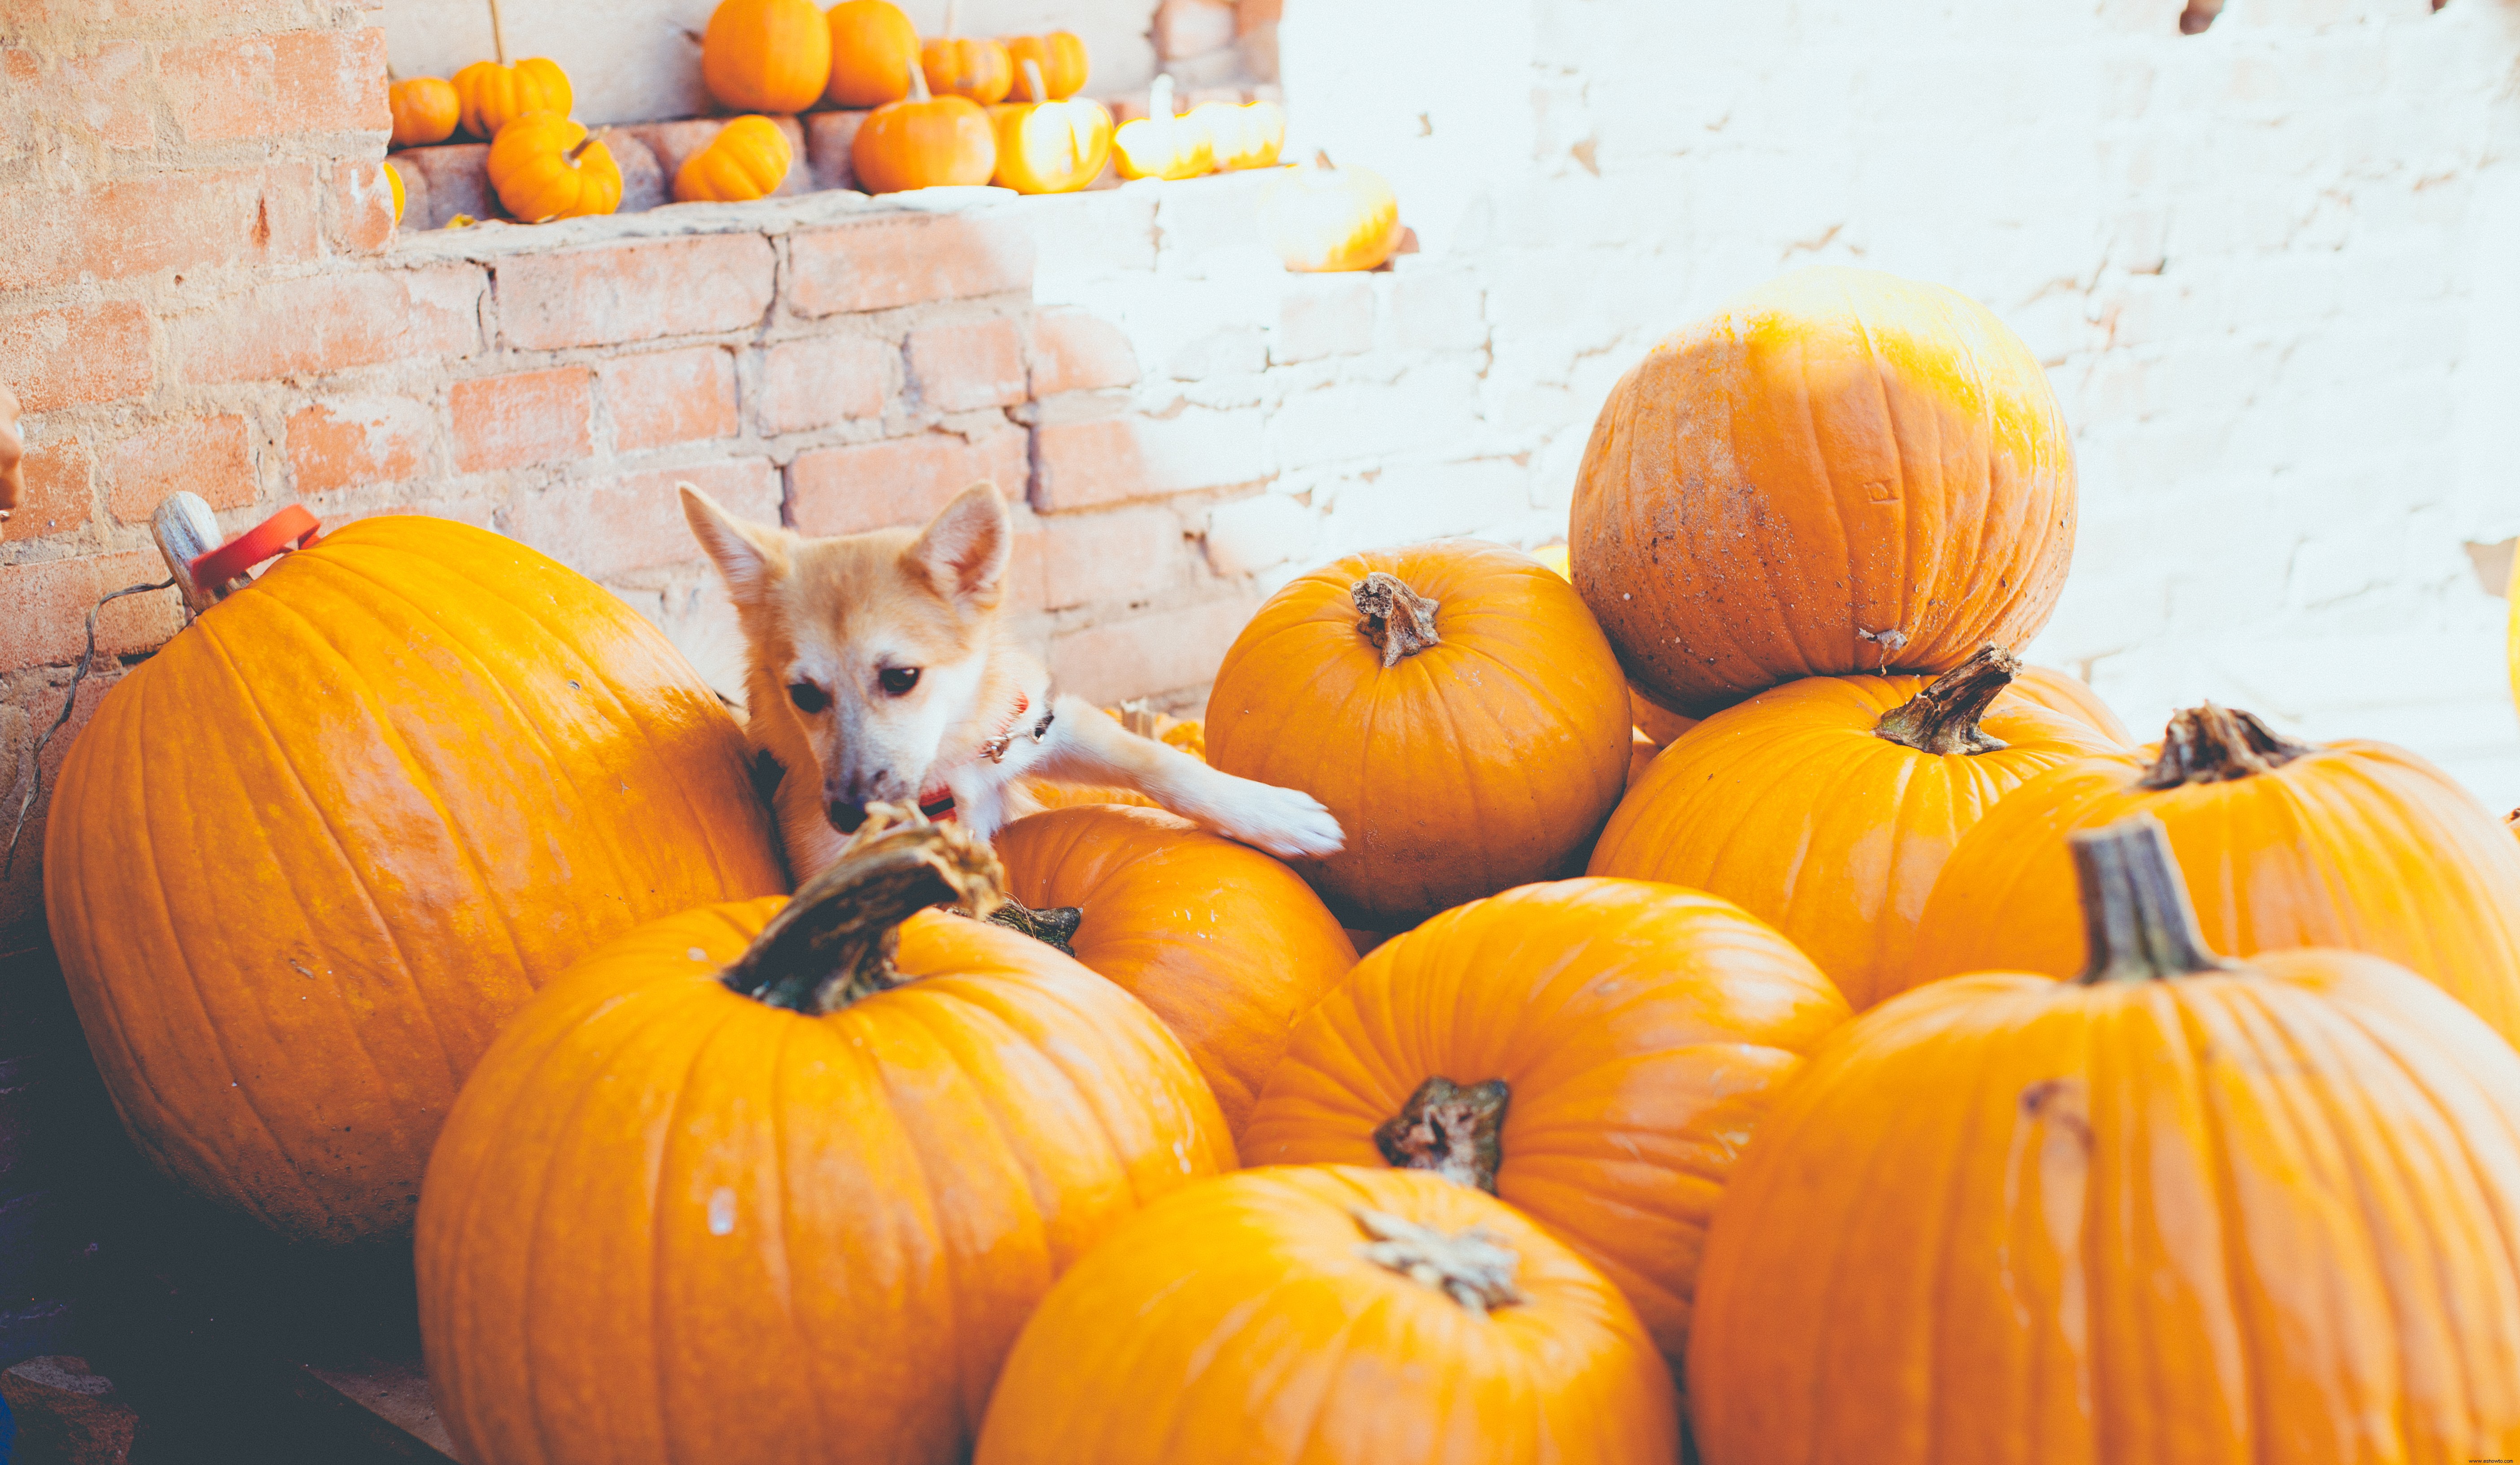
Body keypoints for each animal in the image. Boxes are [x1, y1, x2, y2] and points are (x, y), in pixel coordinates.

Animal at [670, 477, 1340, 877]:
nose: (849, 815)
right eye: (804, 695)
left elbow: (1164, 762)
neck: (947, 773)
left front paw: (1268, 811)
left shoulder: (1043, 724)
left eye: (901, 677)